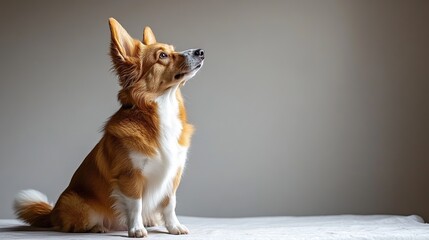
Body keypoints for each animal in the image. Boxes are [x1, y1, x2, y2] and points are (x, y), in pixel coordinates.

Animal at [11, 17, 202, 237]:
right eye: (162, 55)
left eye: (173, 50)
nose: (201, 51)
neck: (161, 108)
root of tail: (52, 214)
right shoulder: (130, 176)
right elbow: (136, 205)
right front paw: (136, 229)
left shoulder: (172, 175)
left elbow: (170, 204)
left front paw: (173, 227)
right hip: (79, 204)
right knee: (75, 225)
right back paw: (98, 227)